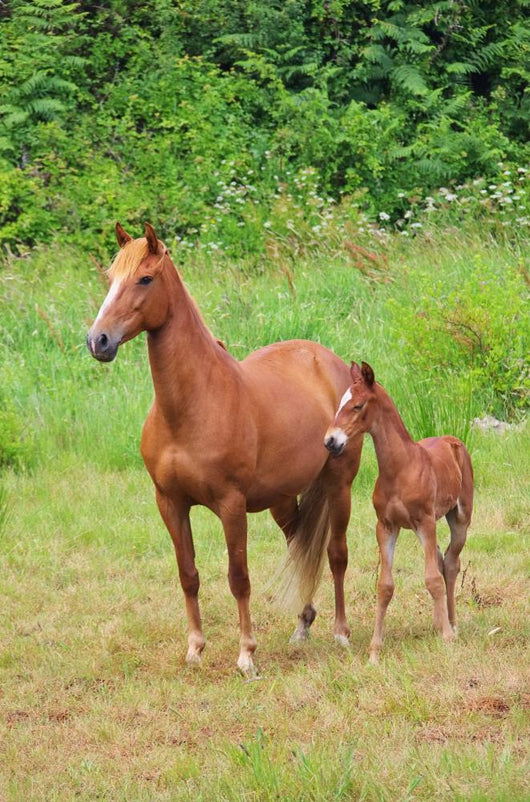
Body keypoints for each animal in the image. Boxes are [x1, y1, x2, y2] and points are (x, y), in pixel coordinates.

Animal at [86, 223, 363, 676]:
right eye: (110, 278)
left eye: (145, 279)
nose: (99, 341)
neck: (192, 405)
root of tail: (330, 361)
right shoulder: (170, 503)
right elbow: (188, 574)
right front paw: (195, 648)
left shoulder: (231, 506)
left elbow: (239, 578)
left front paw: (246, 655)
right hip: (282, 498)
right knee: (297, 546)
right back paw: (303, 624)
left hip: (339, 485)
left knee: (336, 554)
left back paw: (341, 633)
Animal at [324, 361, 473, 663]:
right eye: (340, 402)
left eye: (357, 405)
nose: (330, 441)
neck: (400, 467)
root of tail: (453, 440)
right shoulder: (386, 526)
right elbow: (385, 586)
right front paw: (374, 651)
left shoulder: (425, 522)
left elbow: (432, 579)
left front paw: (448, 640)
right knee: (441, 560)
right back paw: (439, 622)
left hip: (459, 518)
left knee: (450, 564)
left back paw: (451, 625)